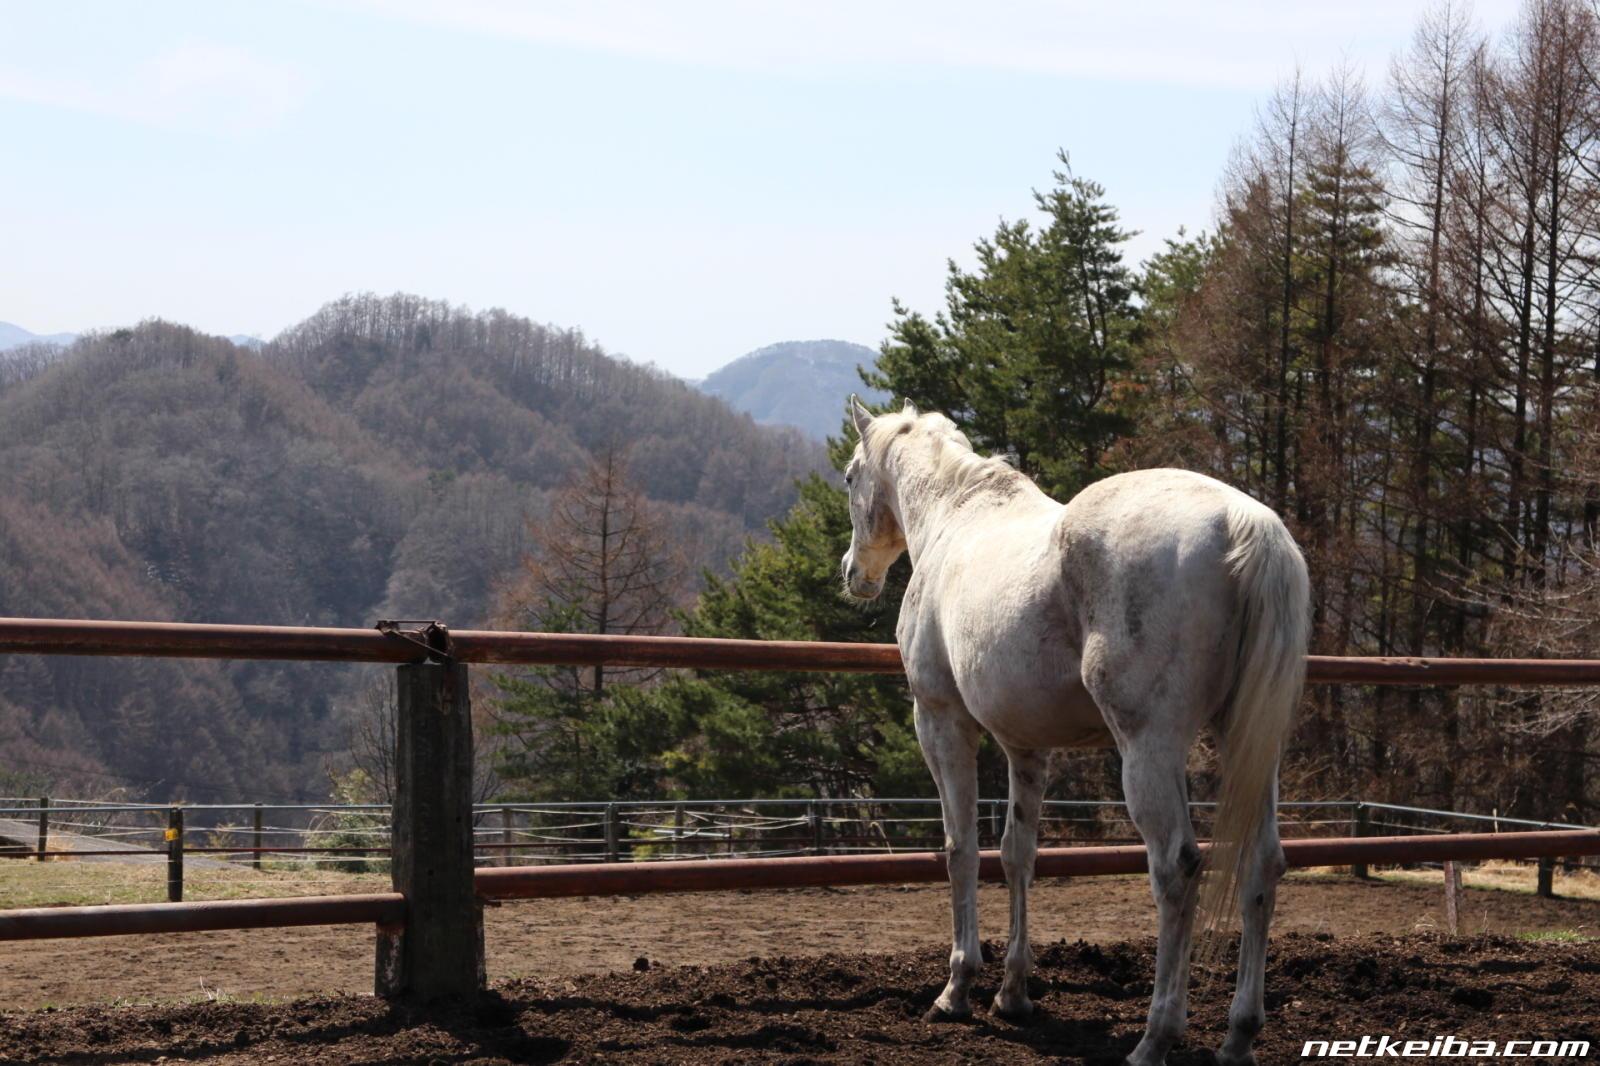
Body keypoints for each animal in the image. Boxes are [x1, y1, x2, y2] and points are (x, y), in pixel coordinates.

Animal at [844, 398, 1305, 1062]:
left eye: (850, 476)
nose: (854, 573)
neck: (955, 518)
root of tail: (1244, 522)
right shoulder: (1026, 746)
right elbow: (1018, 854)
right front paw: (1012, 993)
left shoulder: (941, 721)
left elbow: (961, 851)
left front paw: (957, 989)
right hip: (1249, 748)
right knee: (1261, 866)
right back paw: (1239, 1036)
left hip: (1149, 750)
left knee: (1177, 870)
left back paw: (1154, 1038)